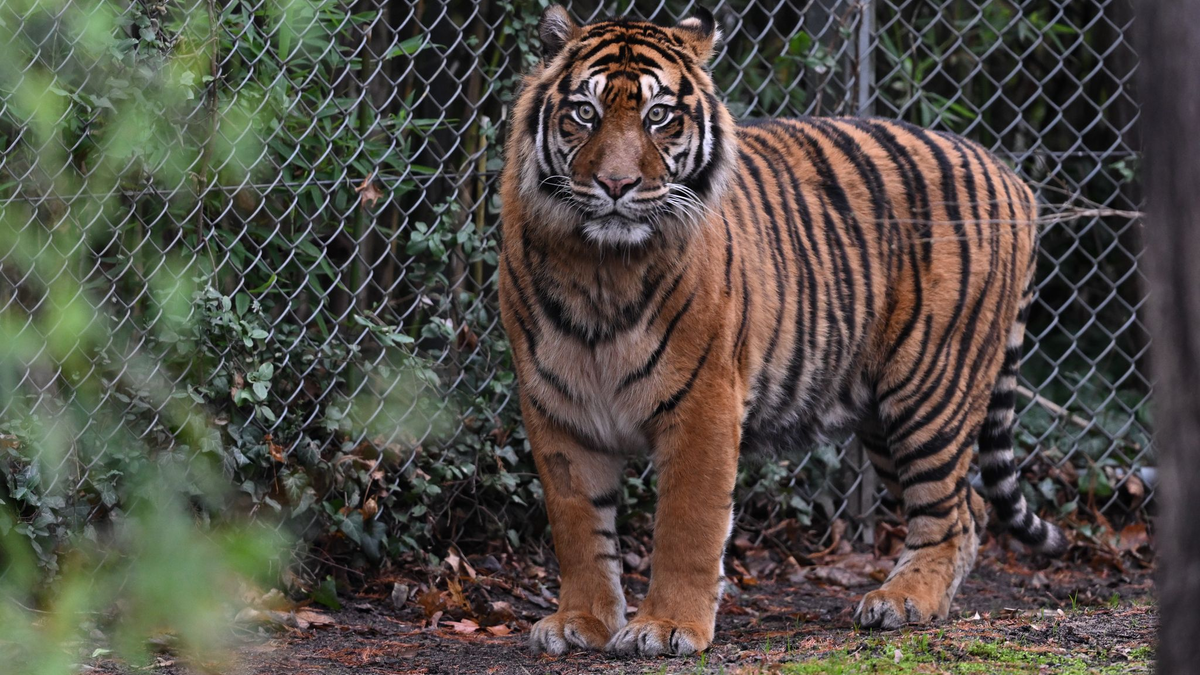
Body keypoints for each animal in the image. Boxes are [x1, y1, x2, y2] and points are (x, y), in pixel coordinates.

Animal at [497, 5, 1068, 657]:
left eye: (658, 116)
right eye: (585, 113)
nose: (615, 186)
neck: (599, 267)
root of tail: (1010, 175)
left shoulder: (704, 402)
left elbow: (687, 525)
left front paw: (665, 627)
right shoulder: (555, 407)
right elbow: (577, 528)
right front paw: (580, 622)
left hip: (932, 387)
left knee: (950, 511)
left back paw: (903, 601)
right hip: (881, 411)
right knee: (969, 506)